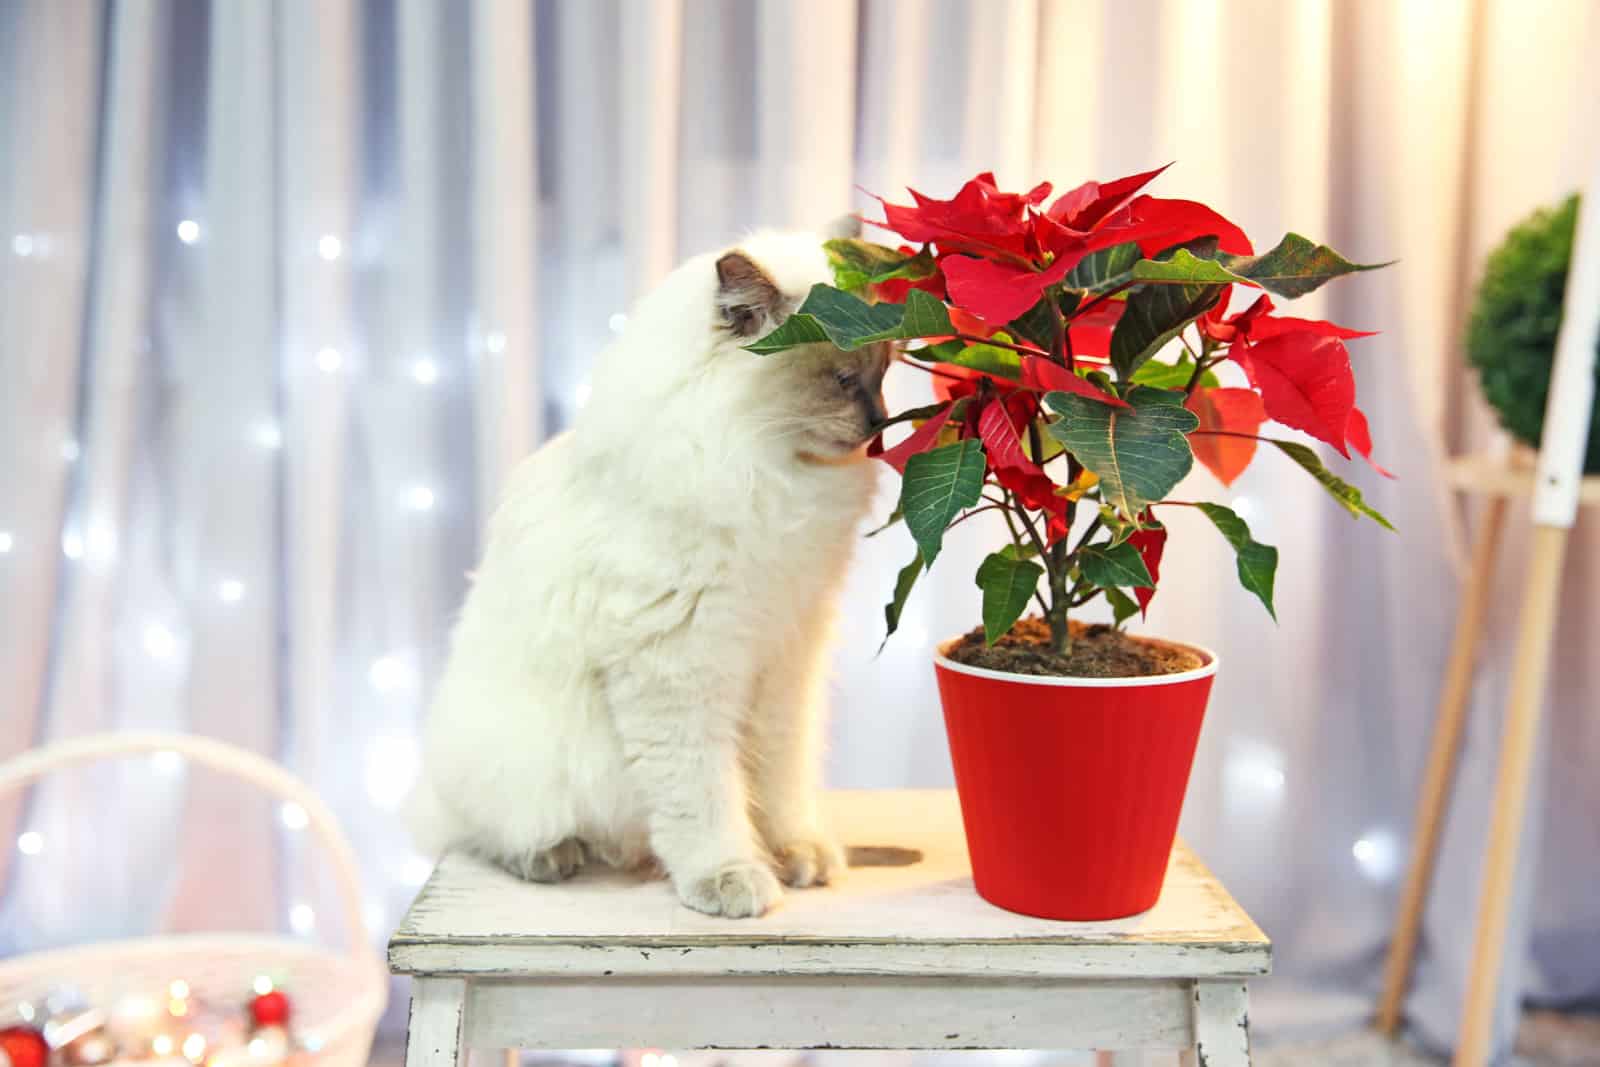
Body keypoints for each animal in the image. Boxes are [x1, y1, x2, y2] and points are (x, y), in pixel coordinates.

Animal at [412, 233, 889, 921]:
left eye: (885, 372)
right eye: (842, 378)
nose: (881, 424)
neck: (771, 475)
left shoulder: (786, 656)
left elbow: (780, 777)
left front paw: (797, 855)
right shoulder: (679, 667)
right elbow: (705, 795)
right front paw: (731, 879)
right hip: (520, 762)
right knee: (483, 832)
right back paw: (553, 856)